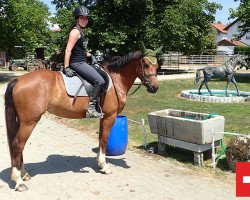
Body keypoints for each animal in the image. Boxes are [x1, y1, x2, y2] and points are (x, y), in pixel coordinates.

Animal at [4, 46, 162, 191]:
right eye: (146, 65)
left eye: (157, 65)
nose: (154, 87)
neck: (115, 79)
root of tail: (19, 79)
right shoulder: (110, 117)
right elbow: (104, 139)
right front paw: (104, 166)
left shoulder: (103, 117)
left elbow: (100, 139)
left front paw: (99, 163)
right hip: (29, 122)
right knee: (17, 144)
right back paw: (18, 181)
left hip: (22, 121)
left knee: (17, 146)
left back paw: (24, 174)